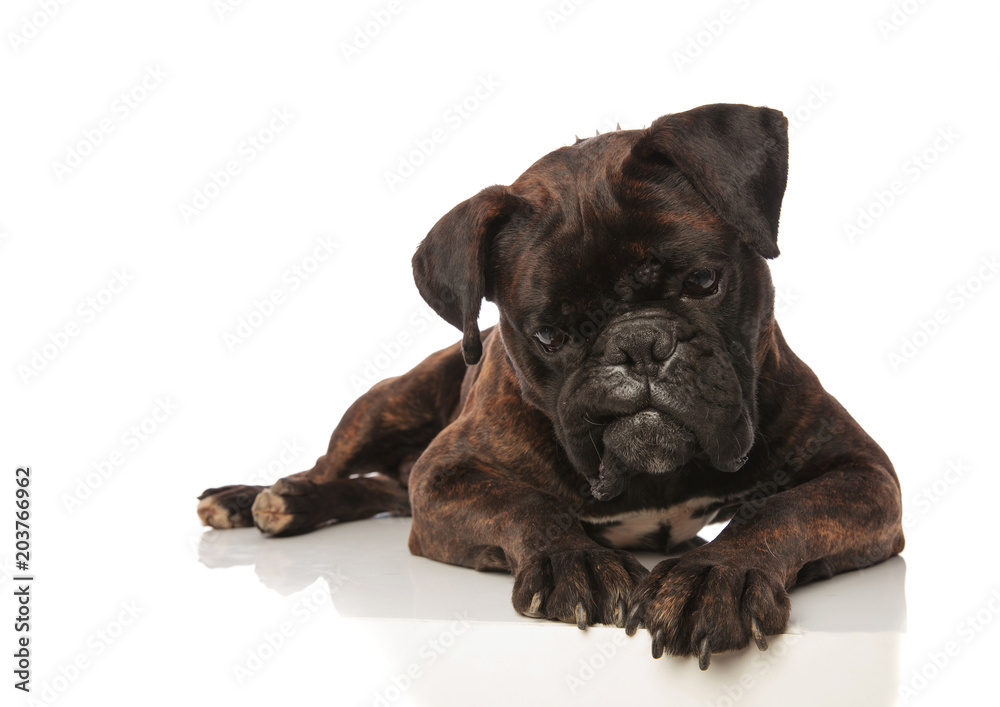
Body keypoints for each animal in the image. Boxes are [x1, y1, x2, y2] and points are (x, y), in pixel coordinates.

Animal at [195, 103, 908, 668]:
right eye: (547, 334)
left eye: (704, 281)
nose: (638, 346)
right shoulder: (447, 476)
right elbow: (525, 505)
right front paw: (576, 560)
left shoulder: (863, 474)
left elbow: (778, 509)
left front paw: (715, 575)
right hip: (382, 406)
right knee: (329, 468)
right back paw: (263, 499)